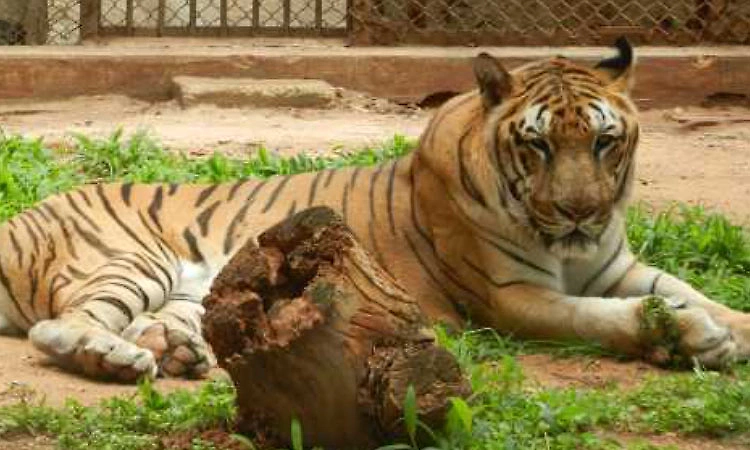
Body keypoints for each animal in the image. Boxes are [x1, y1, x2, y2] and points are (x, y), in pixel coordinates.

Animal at [0, 38, 748, 381]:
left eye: (603, 141)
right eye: (536, 144)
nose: (578, 214)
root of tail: (17, 220)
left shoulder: (616, 267)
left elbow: (698, 293)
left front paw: (723, 327)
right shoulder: (510, 298)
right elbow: (599, 319)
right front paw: (689, 337)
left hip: (192, 291)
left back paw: (178, 351)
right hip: (133, 260)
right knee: (62, 327)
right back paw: (114, 358)